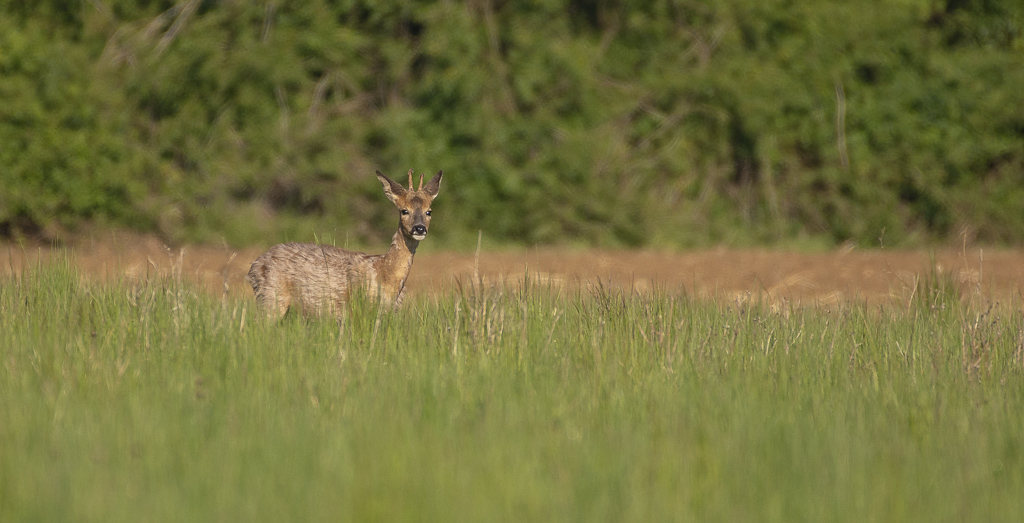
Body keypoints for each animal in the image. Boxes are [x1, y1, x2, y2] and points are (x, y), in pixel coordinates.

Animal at [247, 169, 444, 321]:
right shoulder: (356, 308)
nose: (419, 228)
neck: (385, 275)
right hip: (271, 296)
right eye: (404, 211)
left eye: (429, 211)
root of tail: (254, 267)